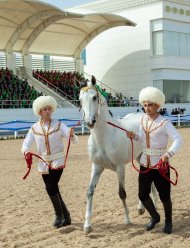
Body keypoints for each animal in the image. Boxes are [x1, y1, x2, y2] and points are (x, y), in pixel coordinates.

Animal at [79, 84, 157, 233]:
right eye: (80, 99)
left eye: (94, 97)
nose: (89, 122)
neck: (105, 137)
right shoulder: (97, 167)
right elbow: (89, 192)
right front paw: (87, 225)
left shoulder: (120, 168)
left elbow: (122, 193)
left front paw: (127, 219)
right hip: (139, 157)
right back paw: (141, 208)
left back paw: (153, 204)